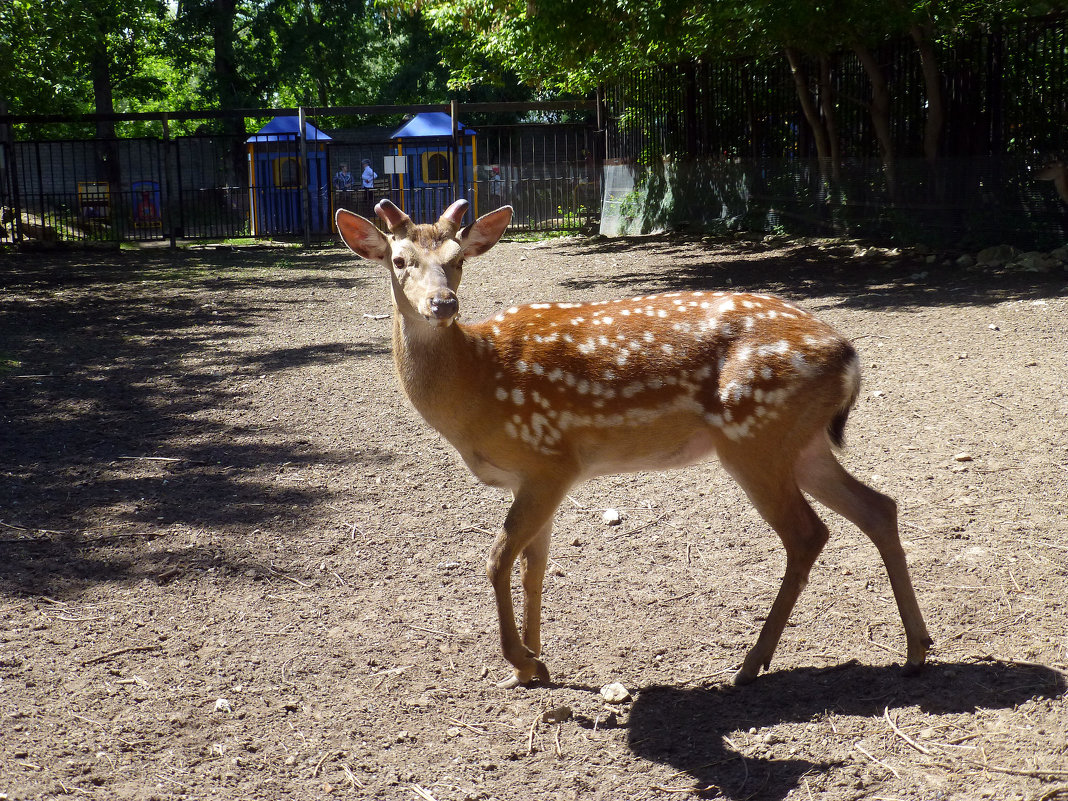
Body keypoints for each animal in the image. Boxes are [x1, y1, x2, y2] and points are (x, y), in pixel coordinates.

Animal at [337, 200, 931, 692]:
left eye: (457, 258)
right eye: (399, 260)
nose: (443, 303)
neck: (478, 383)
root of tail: (850, 355)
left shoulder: (552, 460)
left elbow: (497, 560)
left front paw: (523, 660)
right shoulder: (535, 477)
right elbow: (533, 568)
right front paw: (534, 668)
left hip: (754, 437)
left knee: (808, 533)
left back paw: (750, 663)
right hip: (800, 443)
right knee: (879, 507)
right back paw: (916, 651)